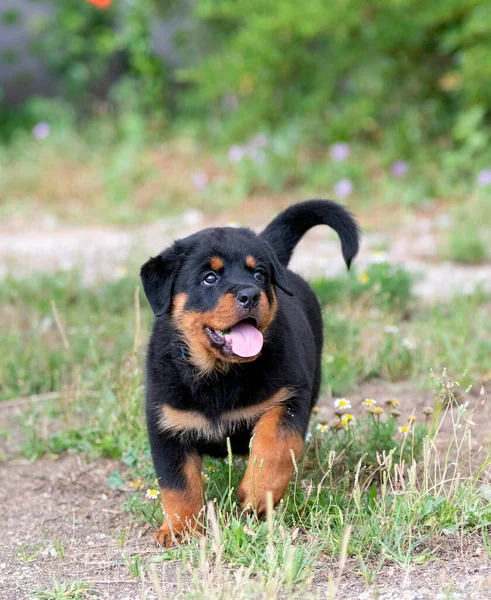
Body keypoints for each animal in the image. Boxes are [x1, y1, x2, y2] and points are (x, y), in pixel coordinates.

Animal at [140, 199, 360, 548]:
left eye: (258, 274)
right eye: (209, 278)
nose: (250, 294)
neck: (220, 375)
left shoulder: (289, 398)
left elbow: (274, 447)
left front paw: (257, 494)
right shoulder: (166, 423)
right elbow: (178, 484)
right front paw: (180, 530)